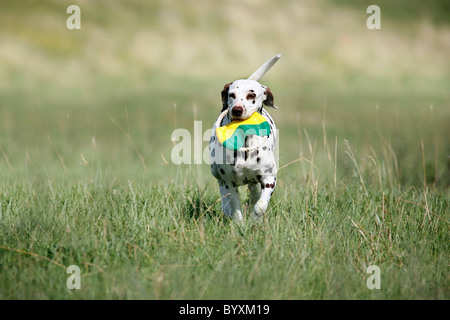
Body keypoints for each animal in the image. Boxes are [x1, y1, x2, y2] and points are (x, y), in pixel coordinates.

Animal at [210, 79, 278, 221]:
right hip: (216, 173)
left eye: (251, 95)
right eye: (232, 95)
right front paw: (239, 223)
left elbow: (260, 206)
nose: (237, 109)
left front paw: (254, 220)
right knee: (222, 190)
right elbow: (236, 210)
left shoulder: (269, 180)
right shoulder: (230, 183)